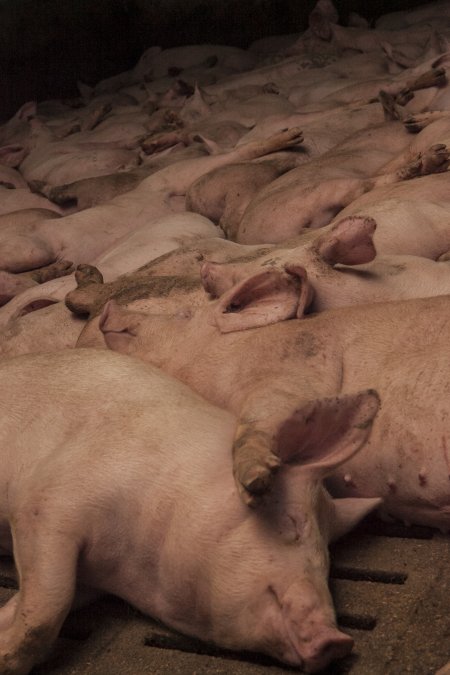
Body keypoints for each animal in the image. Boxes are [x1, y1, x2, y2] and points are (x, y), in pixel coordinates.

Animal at [0, 348, 380, 675]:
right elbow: (47, 607)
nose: (338, 642)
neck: (130, 567)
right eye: (293, 523)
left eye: (327, 558)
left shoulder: (86, 576)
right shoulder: (50, 500)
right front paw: (6, 660)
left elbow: (39, 599)